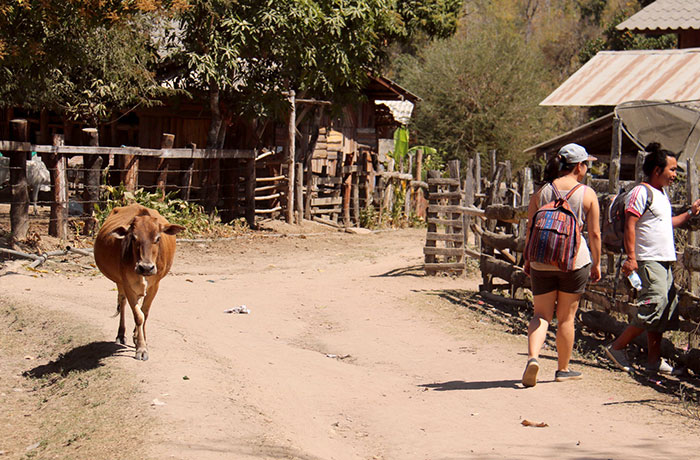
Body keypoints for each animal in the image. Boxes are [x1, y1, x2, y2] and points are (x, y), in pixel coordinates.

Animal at [94, 204, 185, 360]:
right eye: (133, 237)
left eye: (158, 238)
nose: (146, 267)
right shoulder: (127, 284)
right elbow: (138, 316)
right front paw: (141, 348)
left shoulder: (155, 285)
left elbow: (145, 313)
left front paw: (141, 341)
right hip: (119, 283)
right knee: (122, 302)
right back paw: (121, 334)